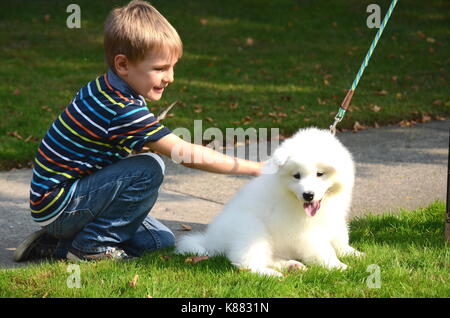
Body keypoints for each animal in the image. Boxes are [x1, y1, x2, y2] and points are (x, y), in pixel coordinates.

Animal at [174, 126, 364, 276]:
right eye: (296, 176)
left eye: (320, 174)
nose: (308, 195)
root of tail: (212, 241)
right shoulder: (304, 231)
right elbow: (322, 249)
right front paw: (339, 266)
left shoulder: (334, 215)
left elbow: (340, 237)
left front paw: (354, 253)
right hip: (251, 230)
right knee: (246, 262)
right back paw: (272, 274)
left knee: (269, 257)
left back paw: (291, 265)